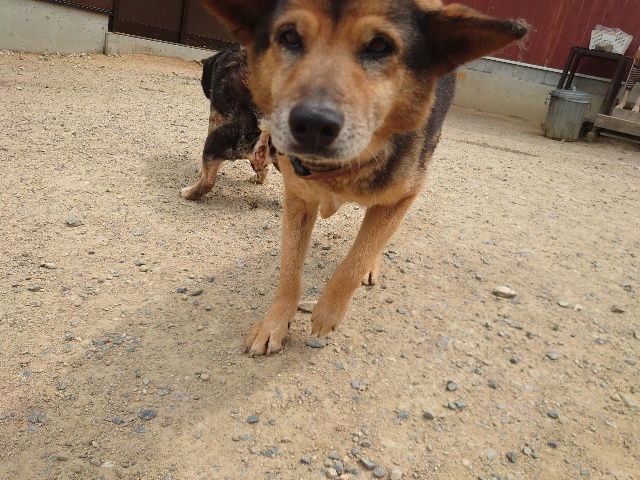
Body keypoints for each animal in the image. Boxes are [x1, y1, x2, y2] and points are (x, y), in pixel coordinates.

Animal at [198, 0, 527, 356]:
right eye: (289, 37)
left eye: (380, 46)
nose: (312, 124)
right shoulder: (298, 198)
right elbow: (289, 267)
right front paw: (274, 323)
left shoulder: (404, 195)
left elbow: (356, 259)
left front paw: (328, 312)